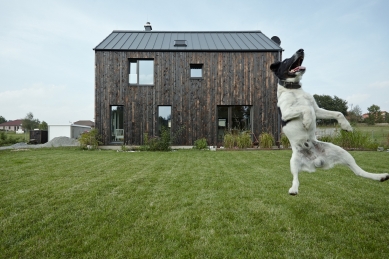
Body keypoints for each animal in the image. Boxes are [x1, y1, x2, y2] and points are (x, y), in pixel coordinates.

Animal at [270, 48, 388, 195]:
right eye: (286, 60)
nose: (301, 50)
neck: (294, 89)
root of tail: (316, 161)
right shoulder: (286, 113)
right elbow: (305, 108)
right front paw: (307, 121)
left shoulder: (317, 110)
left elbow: (337, 113)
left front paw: (346, 125)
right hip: (294, 162)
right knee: (295, 178)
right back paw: (293, 189)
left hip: (343, 152)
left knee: (358, 172)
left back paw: (380, 176)